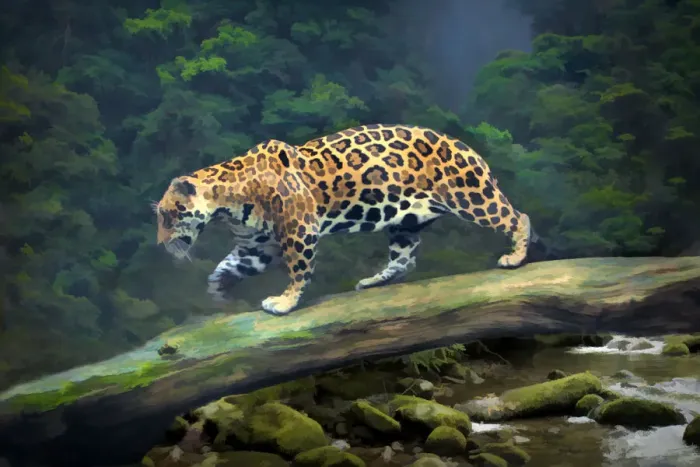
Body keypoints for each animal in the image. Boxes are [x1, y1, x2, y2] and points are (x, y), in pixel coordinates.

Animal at [154, 124, 541, 316]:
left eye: (169, 215)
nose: (160, 244)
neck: (230, 202)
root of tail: (466, 146)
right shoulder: (255, 246)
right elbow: (229, 265)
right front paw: (218, 291)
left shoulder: (299, 230)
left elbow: (298, 269)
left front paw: (285, 302)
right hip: (405, 222)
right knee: (405, 260)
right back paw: (373, 280)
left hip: (470, 196)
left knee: (516, 216)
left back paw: (515, 256)